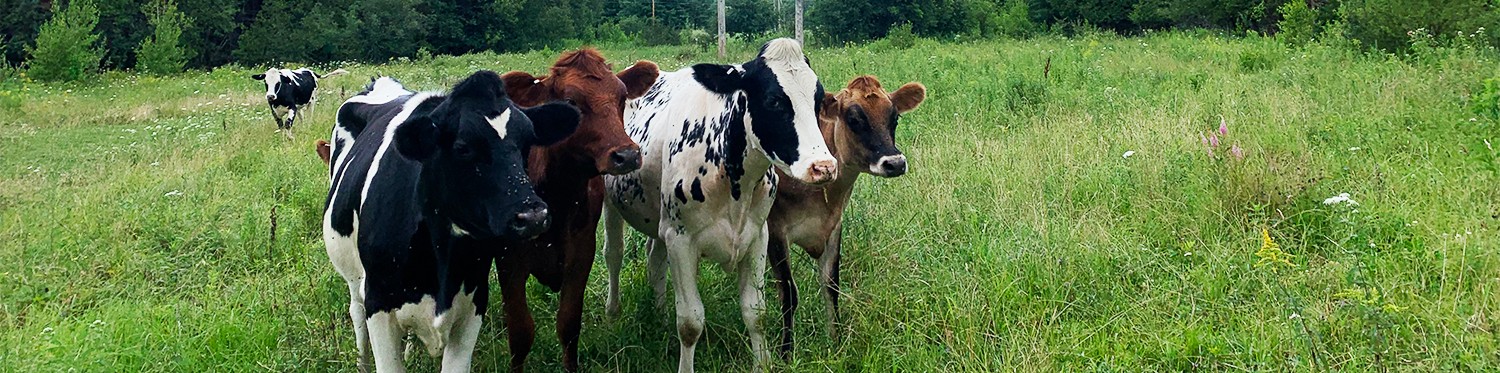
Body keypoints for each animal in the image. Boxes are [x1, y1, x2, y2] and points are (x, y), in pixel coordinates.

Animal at [322, 70, 579, 373]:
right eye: (462, 148)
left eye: (527, 142)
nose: (533, 216)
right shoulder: (378, 301)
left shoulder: (474, 300)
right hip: (353, 275)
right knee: (356, 310)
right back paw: (361, 361)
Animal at [483, 48, 660, 370]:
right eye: (570, 102)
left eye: (621, 97)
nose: (626, 155)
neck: (556, 196)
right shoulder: (508, 259)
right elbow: (520, 331)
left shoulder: (581, 253)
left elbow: (568, 324)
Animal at [600, 38, 840, 373]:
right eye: (773, 101)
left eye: (817, 100)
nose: (824, 167)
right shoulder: (681, 240)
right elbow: (690, 322)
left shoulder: (758, 236)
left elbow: (756, 312)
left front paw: (762, 364)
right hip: (611, 203)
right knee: (614, 254)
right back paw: (612, 314)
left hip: (661, 221)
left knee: (654, 258)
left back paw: (660, 316)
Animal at [774, 73, 924, 355]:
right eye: (854, 120)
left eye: (895, 118)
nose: (895, 163)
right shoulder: (774, 230)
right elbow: (788, 293)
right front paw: (786, 352)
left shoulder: (834, 226)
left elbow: (831, 285)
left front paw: (836, 341)